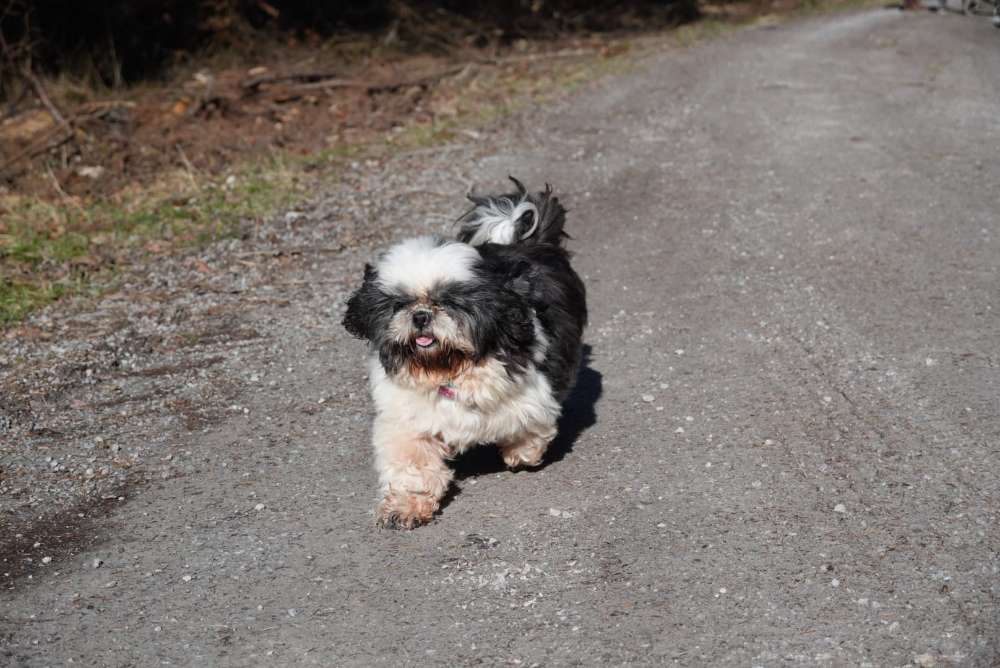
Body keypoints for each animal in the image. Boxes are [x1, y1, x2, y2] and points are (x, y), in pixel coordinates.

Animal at [344, 176, 584, 528]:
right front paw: (406, 506)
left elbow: (530, 424)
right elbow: (412, 467)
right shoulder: (407, 420)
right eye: (399, 304)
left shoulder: (532, 393)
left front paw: (522, 452)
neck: (449, 366)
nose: (421, 315)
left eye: (450, 302)